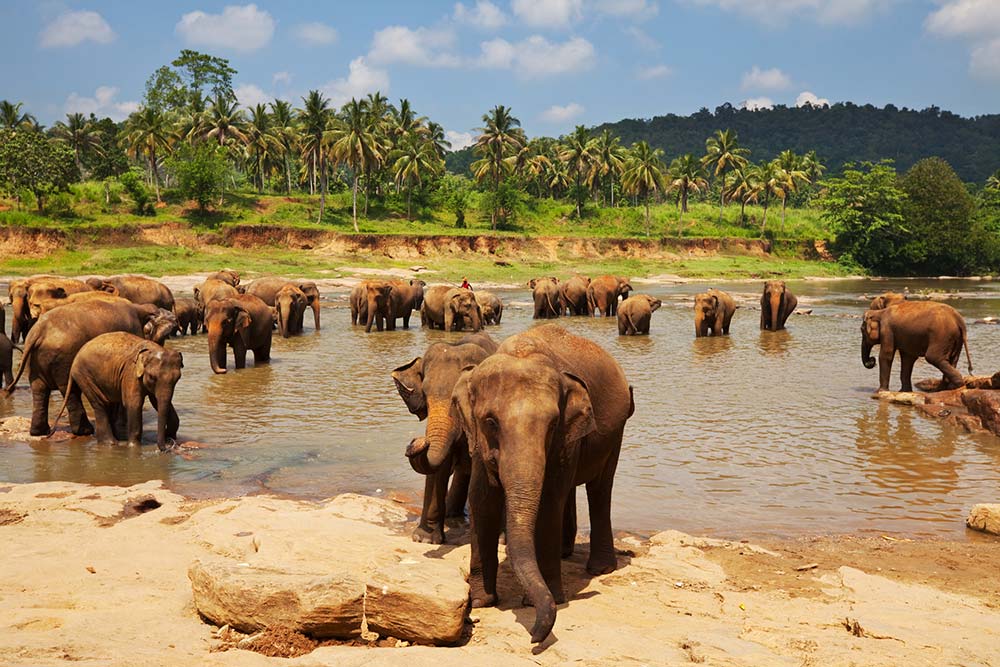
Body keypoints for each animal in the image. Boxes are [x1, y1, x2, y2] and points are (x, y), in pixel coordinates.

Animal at [3, 300, 178, 437]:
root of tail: (38, 331)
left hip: (36, 360)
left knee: (39, 389)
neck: (139, 308)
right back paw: (84, 431)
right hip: (64, 357)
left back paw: (39, 432)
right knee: (69, 389)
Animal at [51, 333, 183, 450]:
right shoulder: (130, 373)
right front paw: (133, 447)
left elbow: (157, 401)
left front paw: (170, 436)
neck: (152, 349)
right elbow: (134, 404)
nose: (166, 448)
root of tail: (74, 360)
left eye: (178, 378)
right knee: (101, 404)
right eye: (151, 377)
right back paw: (111, 443)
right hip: (84, 376)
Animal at [394, 332, 499, 544]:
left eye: (456, 400)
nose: (417, 440)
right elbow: (438, 469)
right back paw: (452, 515)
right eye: (425, 395)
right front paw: (424, 539)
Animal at [445, 324, 634, 644]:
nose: (534, 635)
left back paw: (600, 568)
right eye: (491, 422)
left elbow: (548, 502)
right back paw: (565, 553)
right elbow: (482, 500)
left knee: (599, 489)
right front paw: (482, 600)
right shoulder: (478, 442)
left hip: (616, 432)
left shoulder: (565, 438)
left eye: (553, 424)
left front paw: (548, 599)